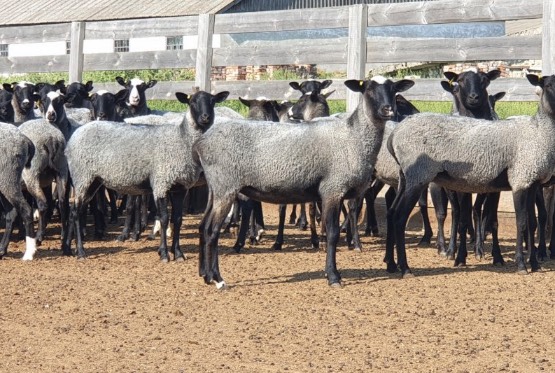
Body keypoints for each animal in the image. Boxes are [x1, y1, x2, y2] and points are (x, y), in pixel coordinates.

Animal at [386, 72, 555, 276]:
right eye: (548, 85)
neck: (538, 132)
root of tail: (394, 135)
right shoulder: (520, 180)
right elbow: (521, 223)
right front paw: (522, 265)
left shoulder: (532, 182)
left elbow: (531, 223)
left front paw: (535, 264)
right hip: (417, 176)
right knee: (399, 217)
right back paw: (405, 268)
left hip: (405, 177)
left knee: (392, 212)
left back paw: (392, 264)